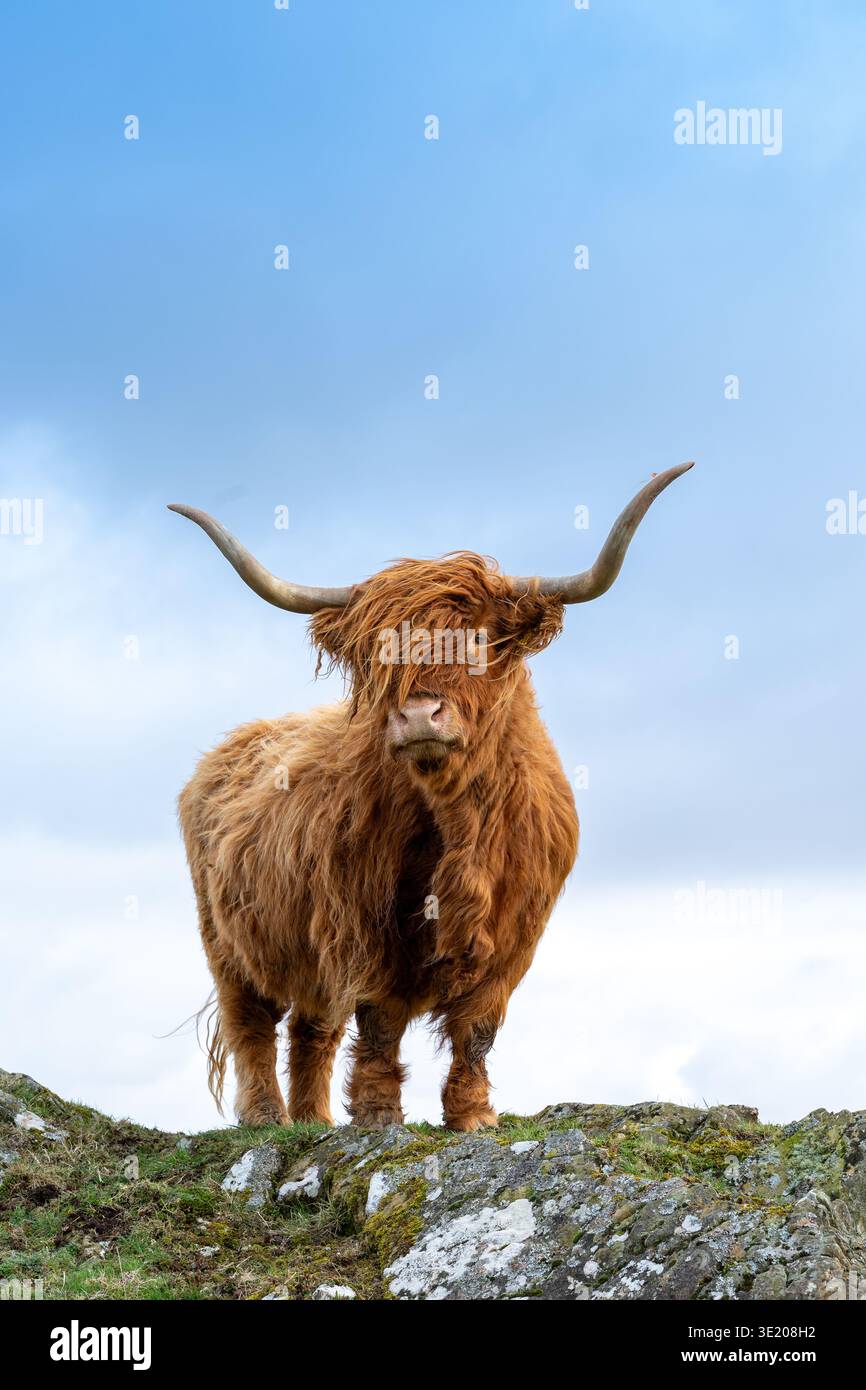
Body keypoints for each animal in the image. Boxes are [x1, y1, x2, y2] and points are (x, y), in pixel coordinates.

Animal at [171, 462, 692, 1131]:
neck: (463, 824)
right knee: (254, 1023)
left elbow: (478, 1028)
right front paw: (377, 1113)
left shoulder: (513, 935)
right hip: (226, 939)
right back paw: (267, 1116)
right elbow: (381, 1017)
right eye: (379, 651)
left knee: (313, 1030)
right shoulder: (364, 922)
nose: (418, 714)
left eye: (477, 642)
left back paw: (314, 1118)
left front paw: (473, 1113)